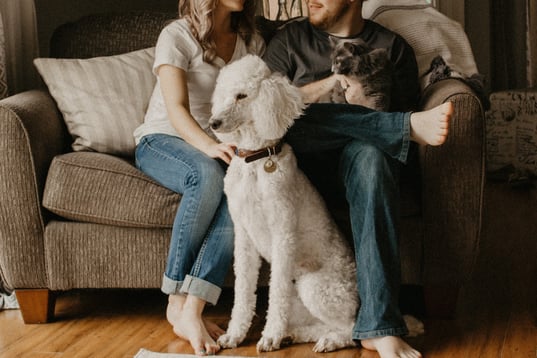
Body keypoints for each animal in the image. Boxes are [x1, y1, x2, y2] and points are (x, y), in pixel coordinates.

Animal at [209, 55, 360, 352]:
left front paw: (270, 336)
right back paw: (295, 335)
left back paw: (329, 341)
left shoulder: (283, 234)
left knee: (353, 329)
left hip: (315, 287)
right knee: (323, 325)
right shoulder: (243, 237)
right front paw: (235, 334)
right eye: (222, 94)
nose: (213, 123)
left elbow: (276, 291)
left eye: (242, 95)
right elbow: (243, 291)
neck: (255, 162)